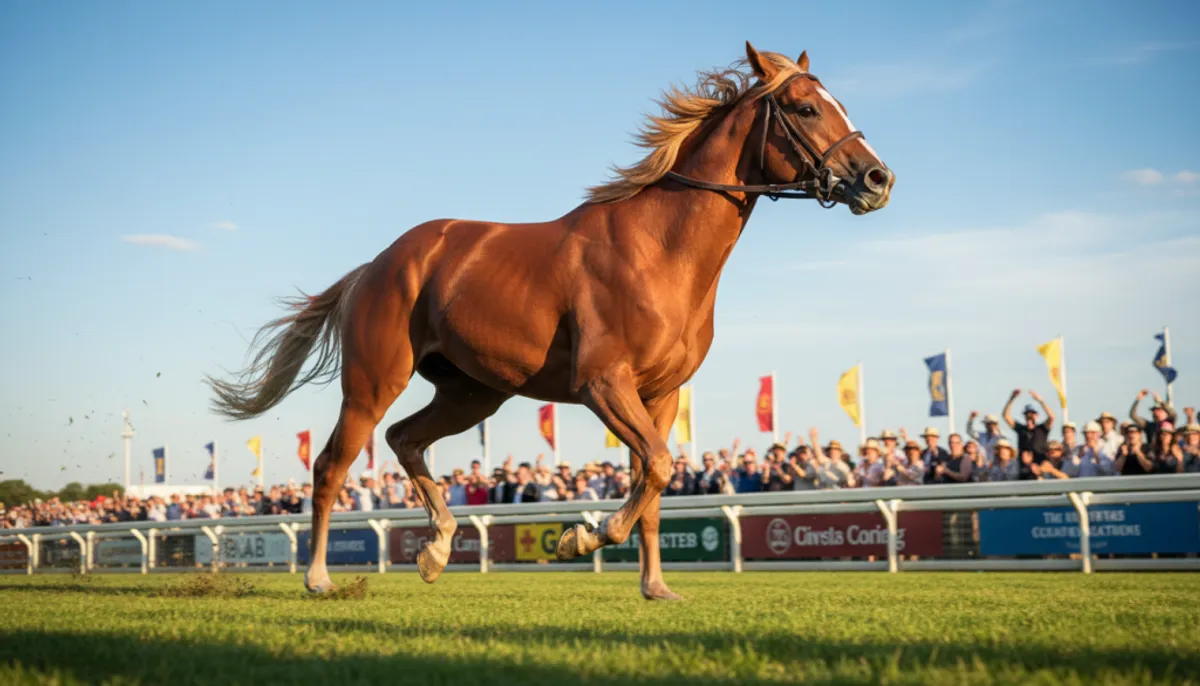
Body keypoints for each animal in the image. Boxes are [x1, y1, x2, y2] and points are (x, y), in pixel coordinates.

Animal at [204, 42, 894, 600]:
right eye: (806, 109)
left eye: (836, 102)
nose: (877, 178)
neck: (660, 250)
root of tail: (376, 264)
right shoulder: (602, 383)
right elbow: (658, 468)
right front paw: (578, 538)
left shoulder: (662, 394)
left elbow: (654, 481)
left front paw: (655, 586)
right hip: (375, 381)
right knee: (332, 465)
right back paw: (319, 576)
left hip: (474, 392)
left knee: (404, 439)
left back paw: (436, 546)